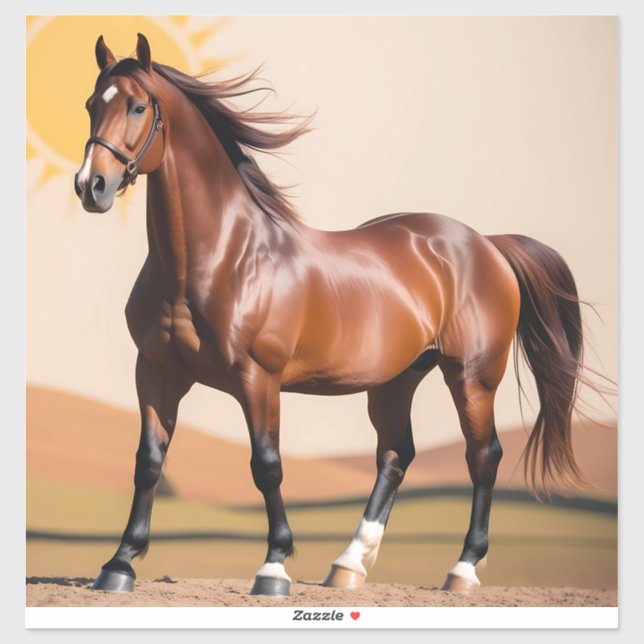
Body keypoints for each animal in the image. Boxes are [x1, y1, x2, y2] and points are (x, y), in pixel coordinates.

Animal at [74, 33, 591, 597]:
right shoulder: (156, 371)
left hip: (473, 377)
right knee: (396, 455)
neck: (219, 258)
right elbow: (149, 462)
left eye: (137, 106)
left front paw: (274, 568)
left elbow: (267, 466)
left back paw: (462, 569)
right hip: (396, 379)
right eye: (91, 104)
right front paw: (120, 564)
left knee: (483, 456)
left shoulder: (258, 378)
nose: (90, 186)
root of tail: (486, 243)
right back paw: (347, 566)